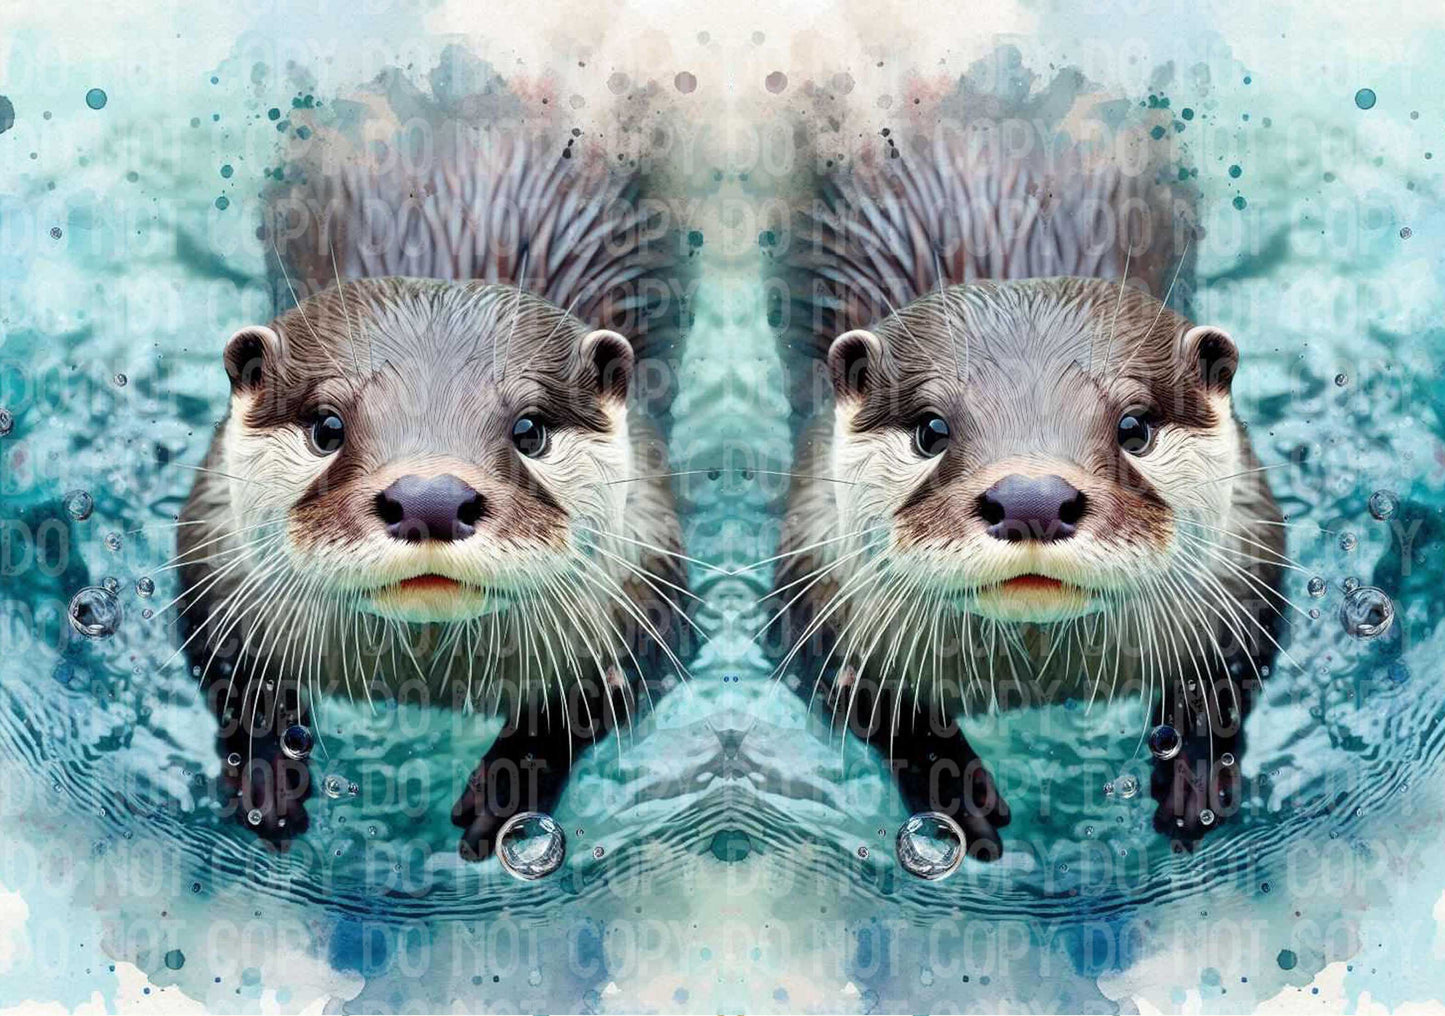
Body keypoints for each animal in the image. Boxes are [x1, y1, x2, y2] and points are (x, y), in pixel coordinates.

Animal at [175, 83, 692, 859]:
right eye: (327, 426)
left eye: (529, 429)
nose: (430, 499)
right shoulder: (214, 560)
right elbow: (232, 677)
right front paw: (266, 777)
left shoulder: (647, 579)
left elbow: (590, 704)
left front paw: (509, 788)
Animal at [770, 92, 1287, 859]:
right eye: (932, 429)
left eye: (1133, 427)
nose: (1032, 499)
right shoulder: (812, 580)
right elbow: (869, 706)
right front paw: (953, 791)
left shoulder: (1248, 559)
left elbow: (1229, 677)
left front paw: (1193, 780)